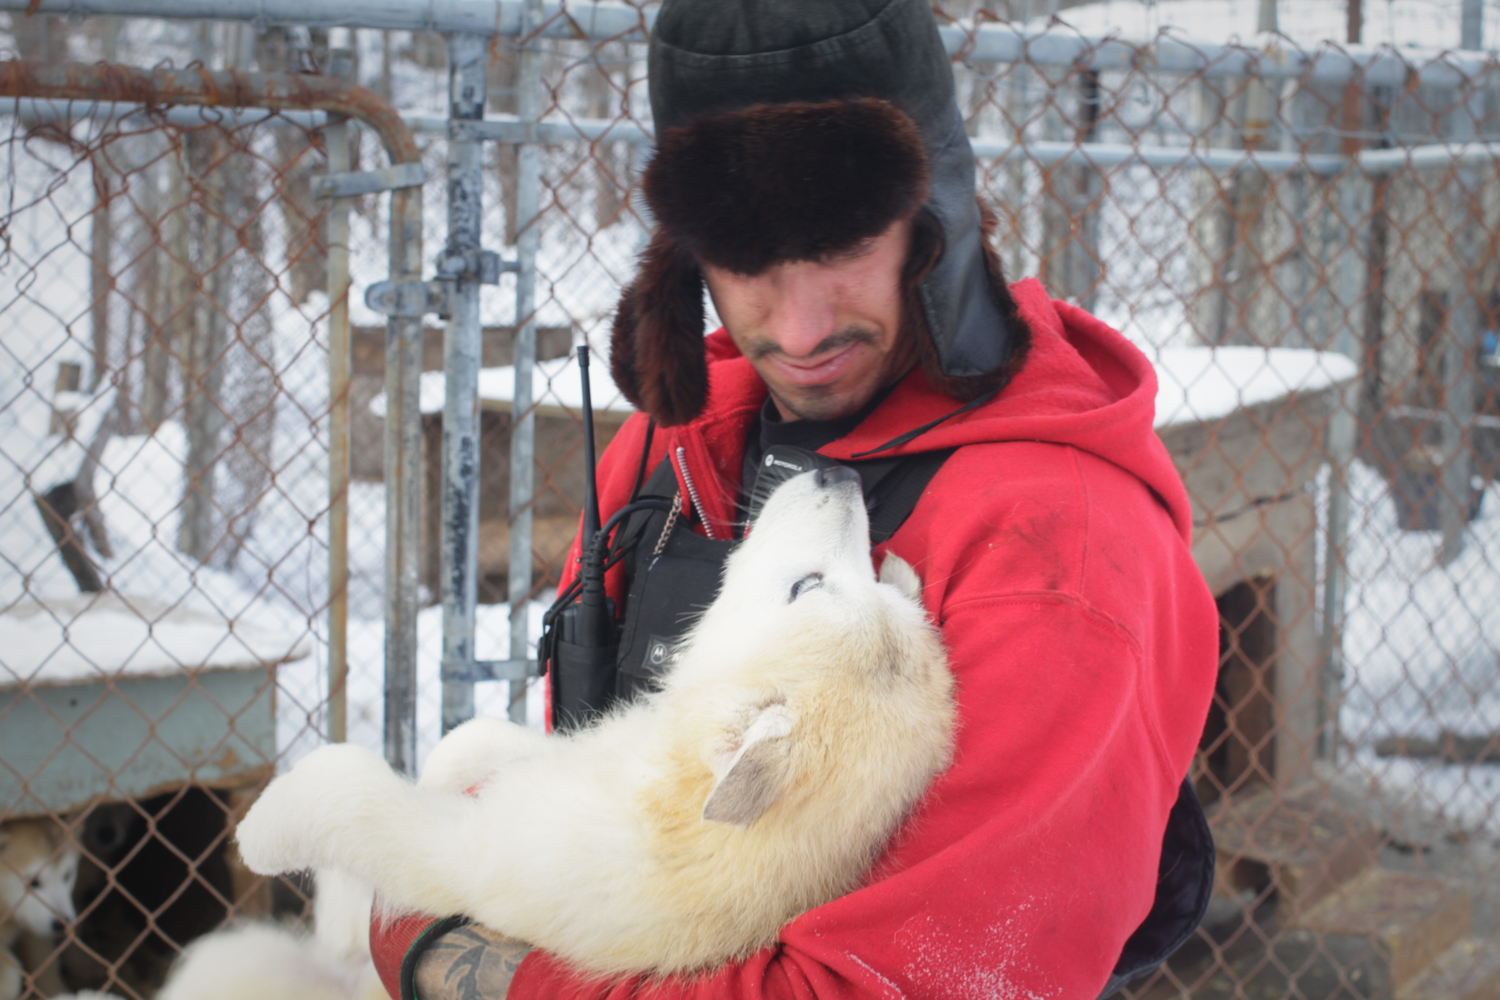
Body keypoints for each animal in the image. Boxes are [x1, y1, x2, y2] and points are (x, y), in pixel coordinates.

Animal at [240, 470, 954, 977]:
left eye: (806, 587)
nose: (841, 473)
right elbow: (477, 740)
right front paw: (444, 767)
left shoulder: (462, 859)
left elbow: (353, 790)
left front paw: (262, 834)